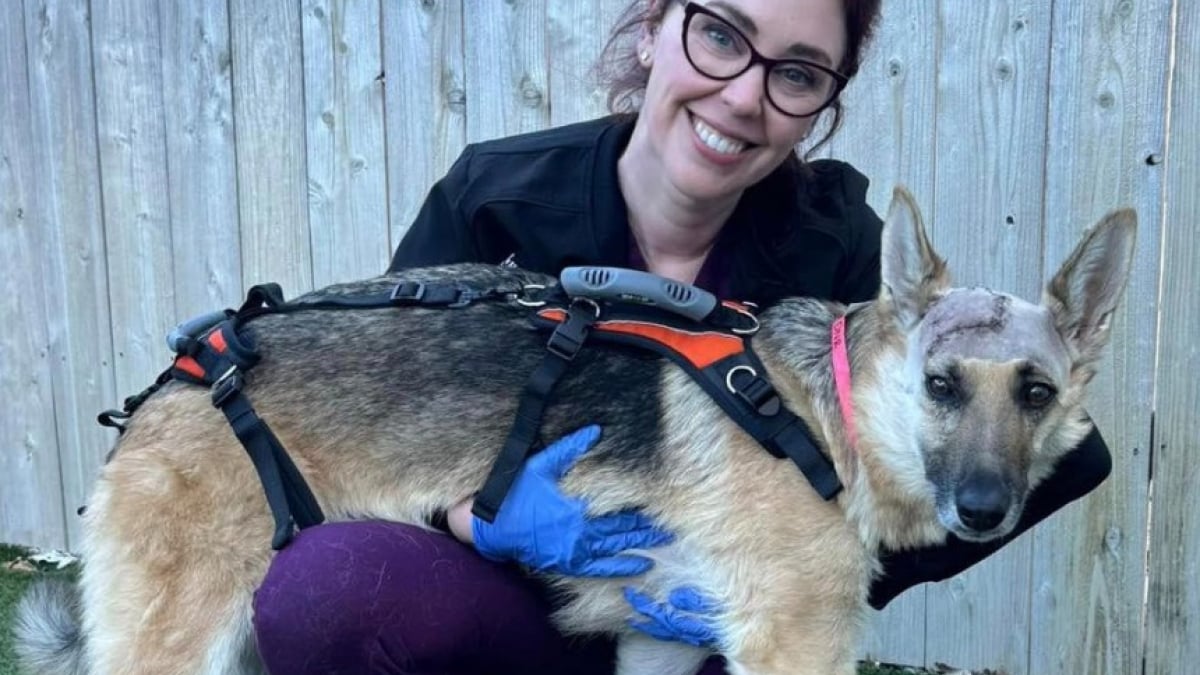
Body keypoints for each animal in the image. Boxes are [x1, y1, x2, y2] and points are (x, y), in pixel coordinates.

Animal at [11, 187, 1132, 672]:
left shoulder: (663, 645)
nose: (983, 511)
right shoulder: (793, 647)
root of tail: (172, 384)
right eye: (943, 385)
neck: (829, 412)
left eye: (1035, 394)